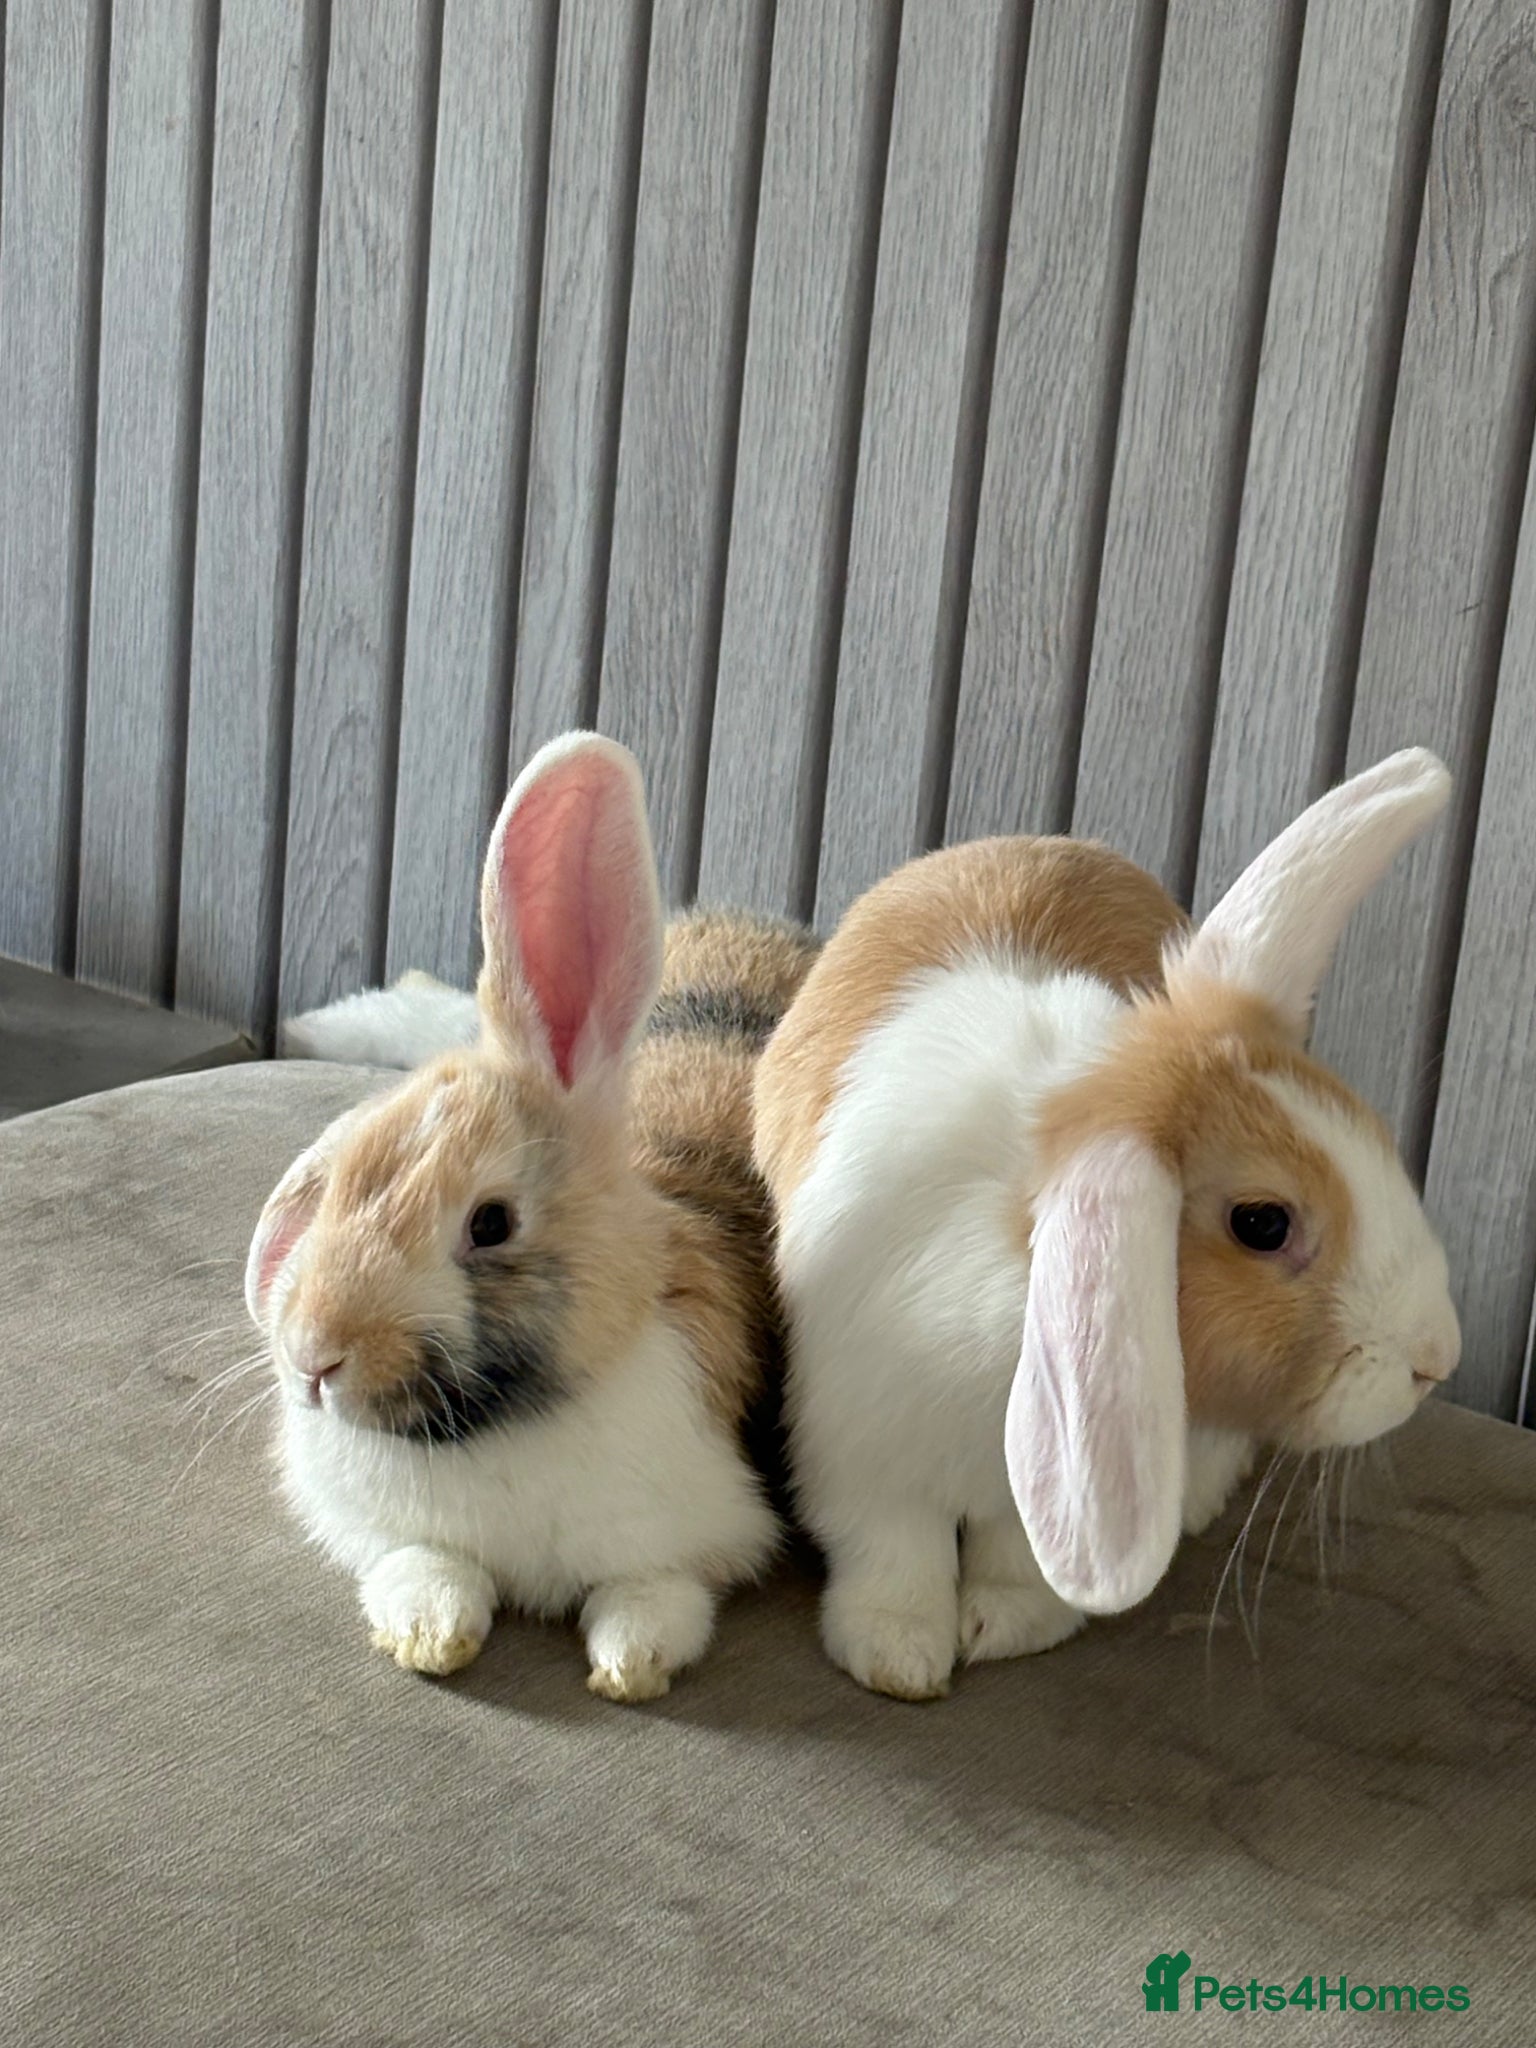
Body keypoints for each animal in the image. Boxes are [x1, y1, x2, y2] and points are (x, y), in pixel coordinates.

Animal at [246, 732, 818, 1701]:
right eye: (347, 1171)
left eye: (489, 1224)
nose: (314, 1358)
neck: (501, 1431)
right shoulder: (381, 1530)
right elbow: (421, 1566)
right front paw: (429, 1631)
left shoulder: (699, 1538)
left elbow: (656, 1596)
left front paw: (631, 1665)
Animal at [753, 748, 1462, 1701]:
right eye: (1263, 1223)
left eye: (1377, 1136)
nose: (1437, 1359)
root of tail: (1040, 837)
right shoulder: (860, 1449)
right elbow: (891, 1555)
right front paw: (898, 1654)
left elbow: (1018, 1560)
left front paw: (1008, 1627)